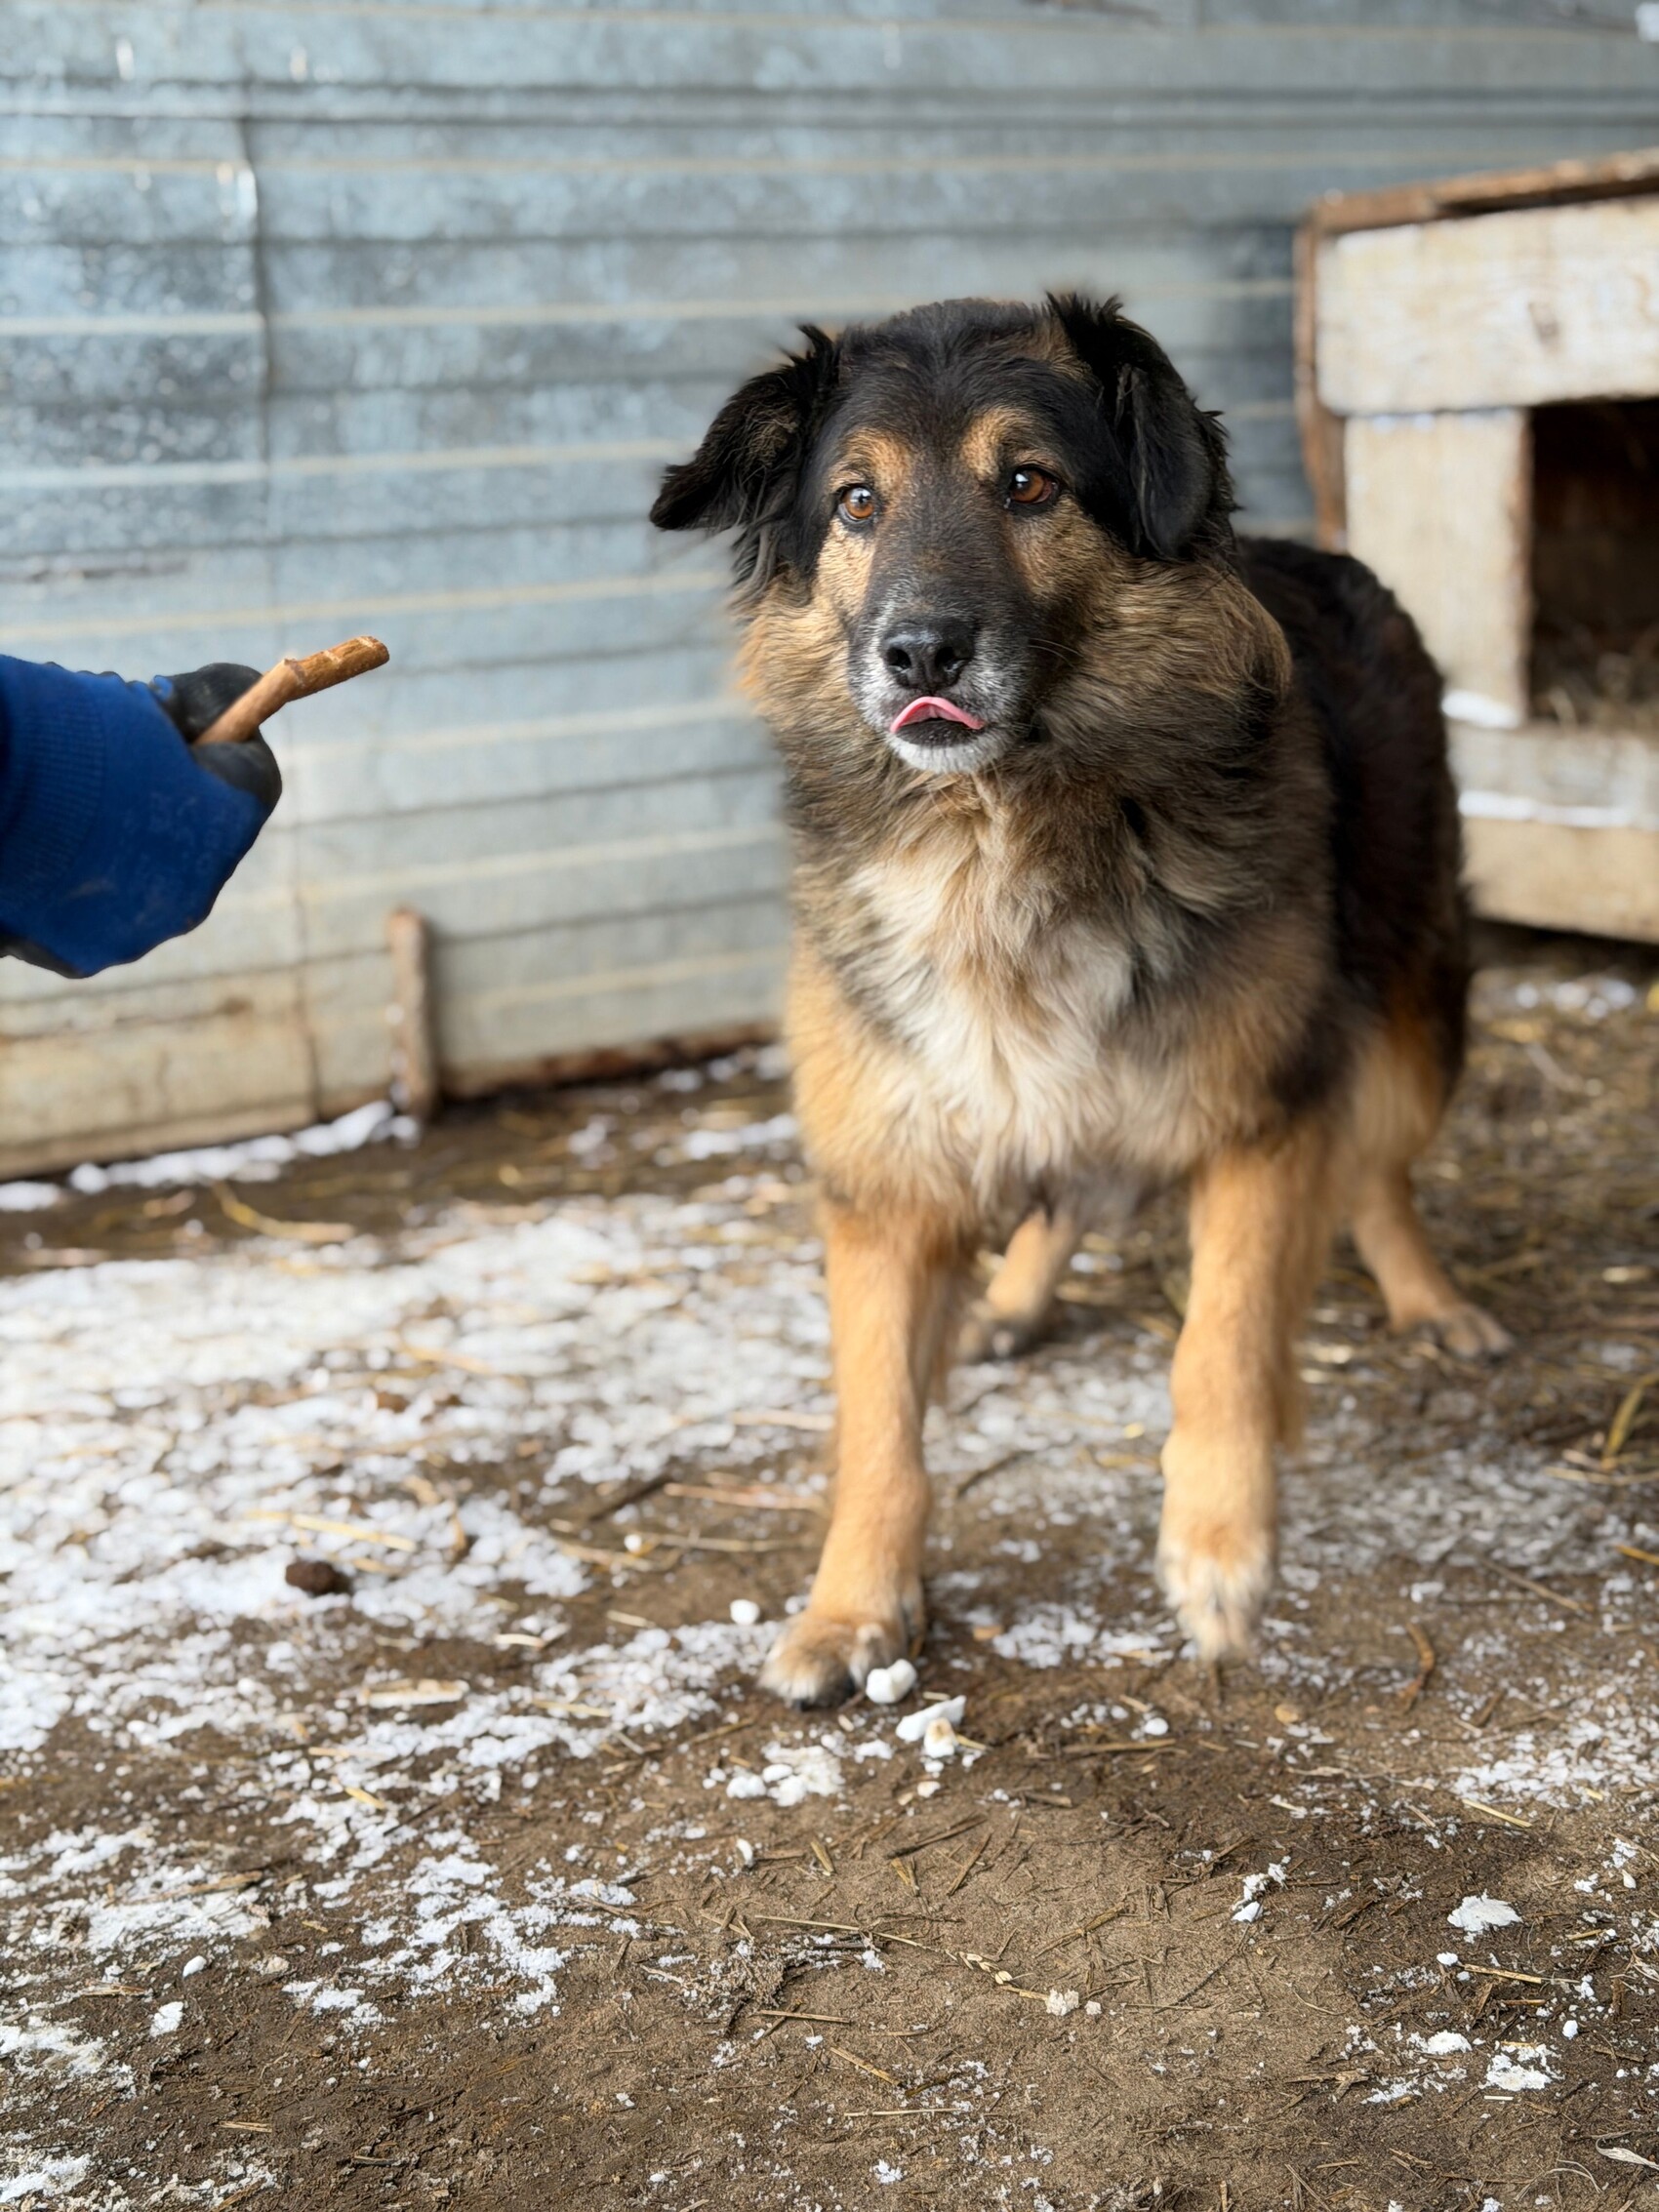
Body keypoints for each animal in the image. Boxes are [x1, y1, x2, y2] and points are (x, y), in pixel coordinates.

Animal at [652, 293, 1508, 1707]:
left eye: (1029, 483)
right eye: (855, 502)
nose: (918, 650)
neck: (998, 834)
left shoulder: (1261, 1111)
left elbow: (1220, 1341)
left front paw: (1218, 1552)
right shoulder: (884, 1167)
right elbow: (875, 1422)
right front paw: (853, 1605)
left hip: (1409, 1003)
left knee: (1378, 1167)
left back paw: (1429, 1298)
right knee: (1060, 1176)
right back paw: (1011, 1298)